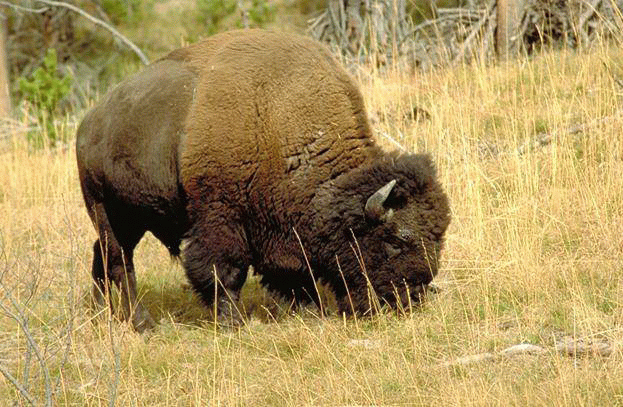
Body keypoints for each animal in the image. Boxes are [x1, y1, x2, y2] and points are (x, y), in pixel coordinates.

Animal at [77, 30, 448, 334]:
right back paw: (143, 324)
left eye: (439, 236)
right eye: (396, 239)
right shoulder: (220, 217)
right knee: (120, 264)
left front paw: (308, 310)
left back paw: (101, 314)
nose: (414, 296)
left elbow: (294, 274)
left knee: (102, 257)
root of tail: (88, 124)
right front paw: (233, 323)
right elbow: (223, 271)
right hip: (107, 212)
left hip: (130, 218)